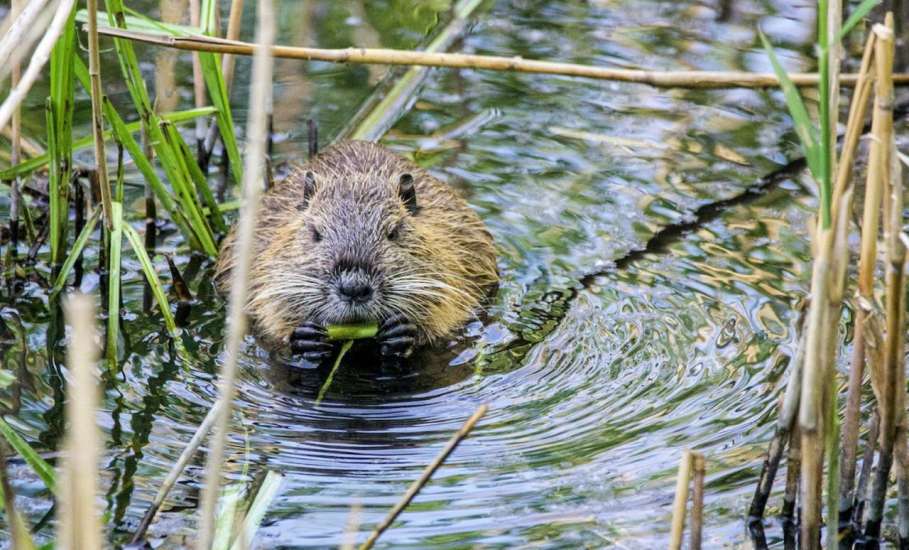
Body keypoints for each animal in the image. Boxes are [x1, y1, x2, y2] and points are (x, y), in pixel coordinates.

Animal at [215, 142, 496, 364]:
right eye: (316, 232)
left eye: (393, 231)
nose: (354, 288)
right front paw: (305, 337)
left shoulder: (456, 250)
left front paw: (402, 332)